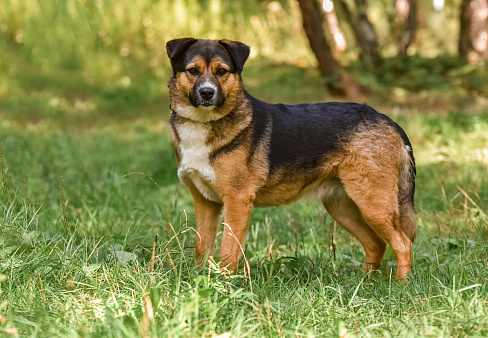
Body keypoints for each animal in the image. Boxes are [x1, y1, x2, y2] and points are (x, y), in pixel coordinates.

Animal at [165, 38, 416, 278]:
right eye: (193, 71)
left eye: (222, 71)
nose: (207, 93)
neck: (203, 123)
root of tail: (388, 120)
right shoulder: (205, 202)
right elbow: (202, 247)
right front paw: (201, 280)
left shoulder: (237, 200)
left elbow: (228, 251)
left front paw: (225, 283)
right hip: (343, 207)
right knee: (377, 244)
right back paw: (363, 282)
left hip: (373, 204)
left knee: (403, 244)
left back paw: (401, 284)